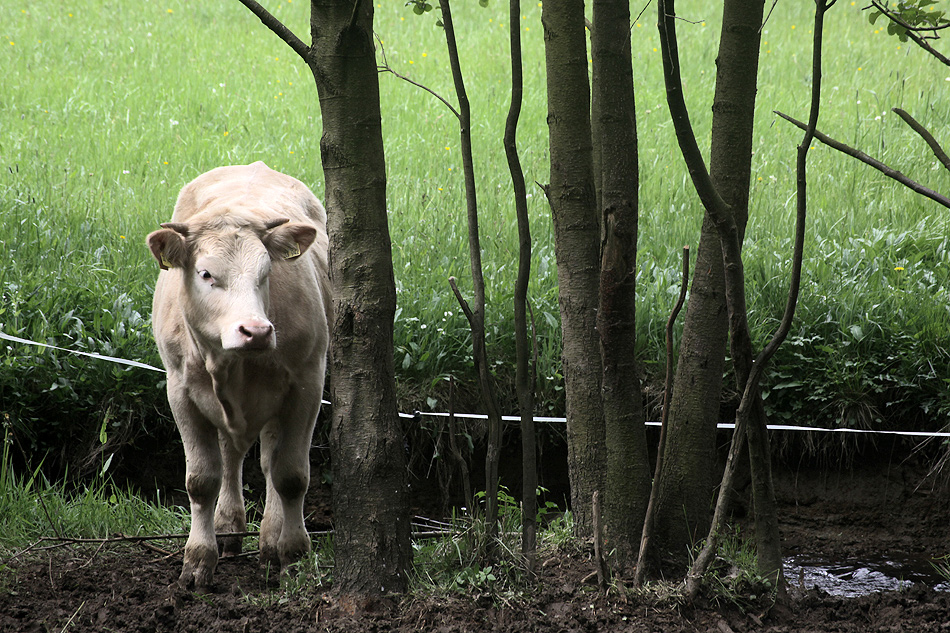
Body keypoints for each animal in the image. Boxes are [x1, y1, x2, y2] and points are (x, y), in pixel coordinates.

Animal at [146, 162, 330, 588]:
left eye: (266, 272)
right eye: (205, 274)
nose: (256, 331)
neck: (234, 365)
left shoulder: (307, 384)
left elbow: (290, 475)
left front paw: (293, 553)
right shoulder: (180, 391)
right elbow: (201, 480)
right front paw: (198, 559)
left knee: (269, 462)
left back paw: (270, 539)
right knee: (231, 457)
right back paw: (228, 527)